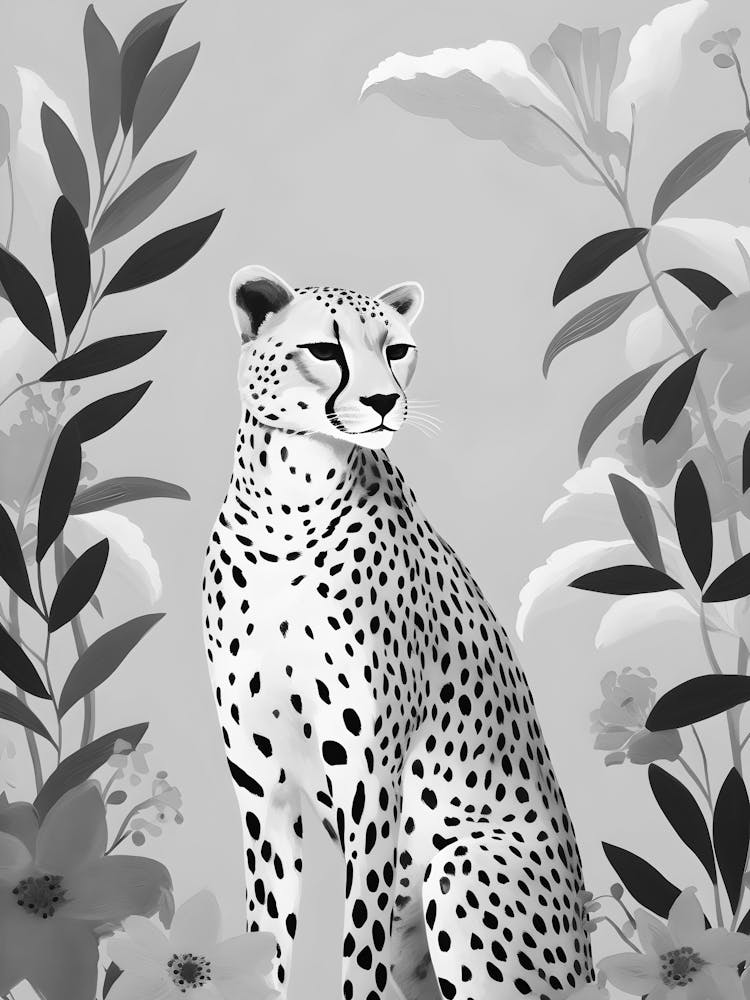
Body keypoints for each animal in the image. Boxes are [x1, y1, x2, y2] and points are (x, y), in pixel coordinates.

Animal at [201, 264, 593, 1000]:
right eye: (324, 350)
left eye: (398, 349)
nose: (384, 400)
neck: (287, 512)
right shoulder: (263, 787)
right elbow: (264, 940)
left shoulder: (369, 781)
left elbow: (359, 946)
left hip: (462, 862)